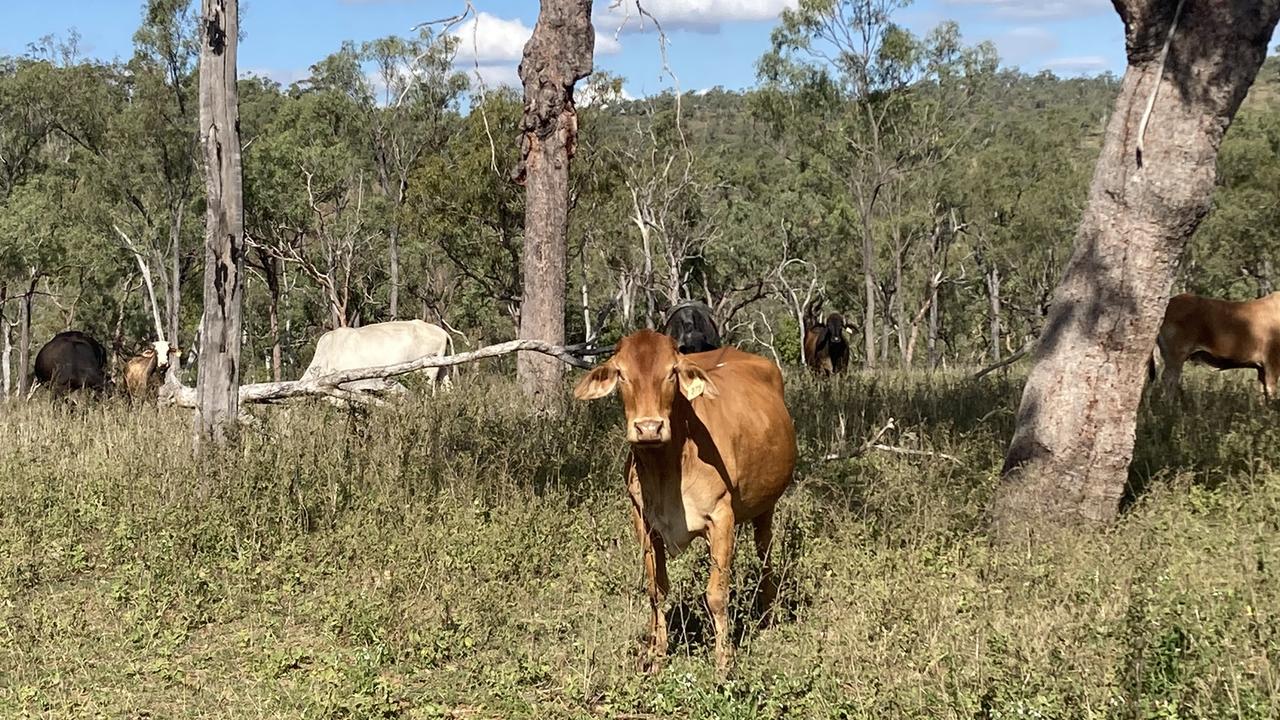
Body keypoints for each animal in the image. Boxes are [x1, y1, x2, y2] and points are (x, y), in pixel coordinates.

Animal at [570, 327, 788, 671]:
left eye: (671, 372)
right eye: (621, 374)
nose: (648, 428)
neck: (666, 468)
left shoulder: (721, 518)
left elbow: (716, 594)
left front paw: (723, 661)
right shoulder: (644, 523)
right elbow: (656, 589)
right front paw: (657, 654)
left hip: (766, 507)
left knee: (764, 556)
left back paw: (766, 616)